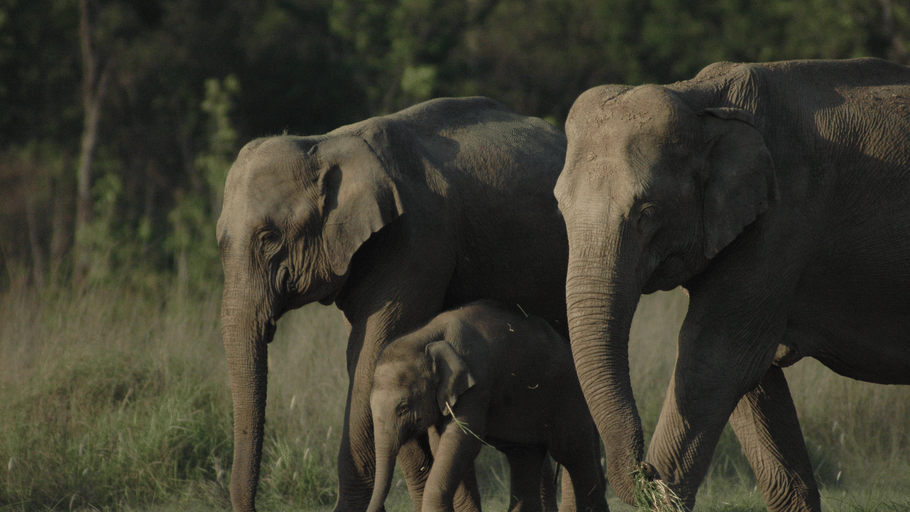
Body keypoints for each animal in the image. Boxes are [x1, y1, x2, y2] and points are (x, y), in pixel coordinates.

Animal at [216, 96, 570, 512]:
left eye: (269, 237)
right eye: (220, 242)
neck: (326, 144)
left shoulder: (416, 241)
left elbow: (371, 354)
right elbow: (371, 358)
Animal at [367, 300, 608, 512]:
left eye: (404, 408)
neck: (426, 335)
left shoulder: (478, 378)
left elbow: (460, 442)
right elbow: (443, 445)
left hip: (568, 392)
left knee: (574, 454)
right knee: (525, 457)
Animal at [553, 57, 910, 511]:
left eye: (647, 213)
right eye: (559, 207)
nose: (643, 469)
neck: (701, 99)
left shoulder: (782, 221)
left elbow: (716, 360)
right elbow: (750, 380)